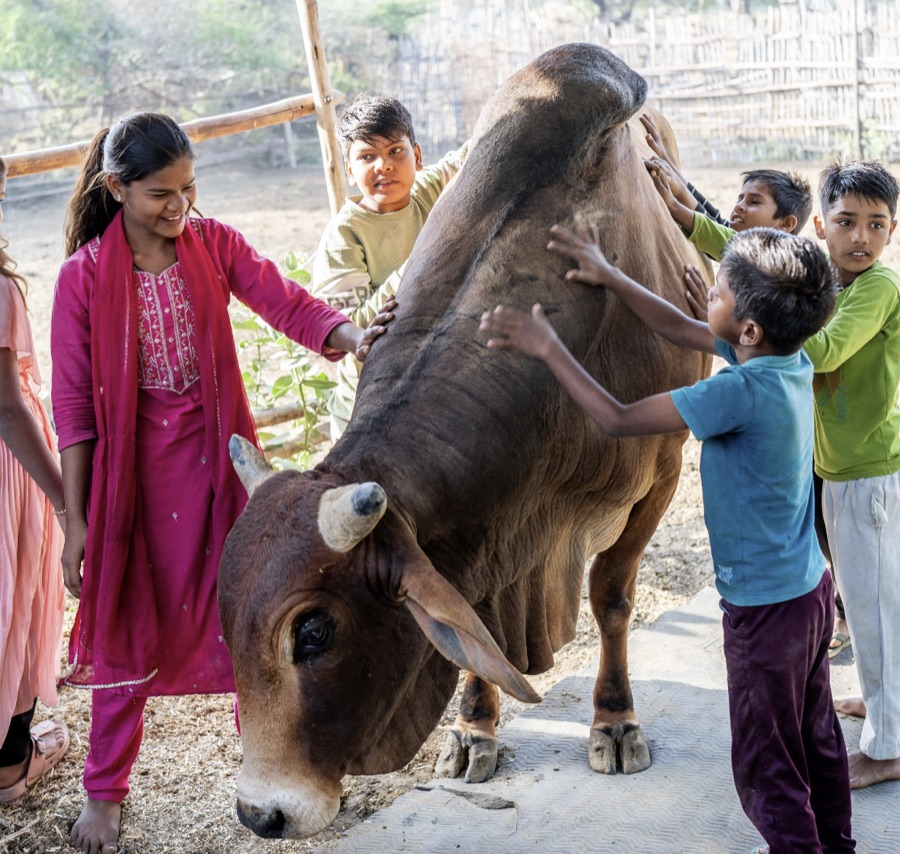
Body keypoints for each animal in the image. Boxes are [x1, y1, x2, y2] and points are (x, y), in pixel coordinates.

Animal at [218, 42, 712, 840]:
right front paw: (474, 731)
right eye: (224, 619)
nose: (261, 812)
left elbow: (611, 596)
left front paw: (614, 721)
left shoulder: (662, 470)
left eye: (314, 633)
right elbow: (476, 621)